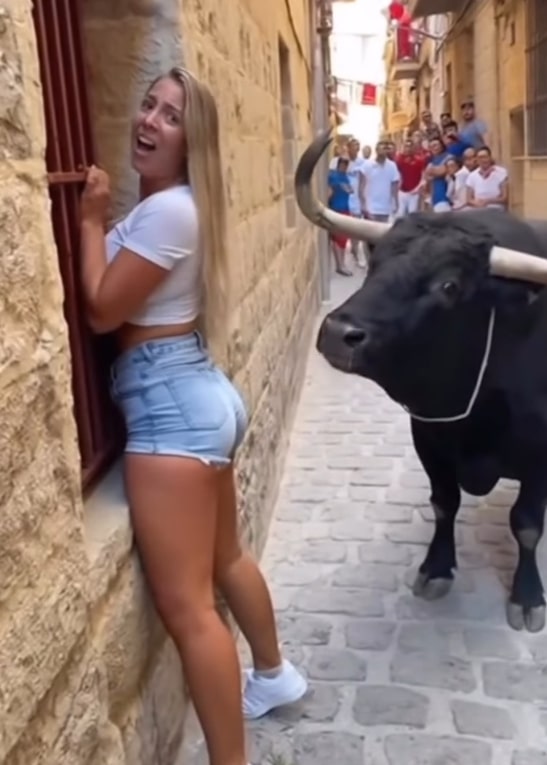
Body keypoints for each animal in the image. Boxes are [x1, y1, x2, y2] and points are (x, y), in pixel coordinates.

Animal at [295, 128, 547, 633]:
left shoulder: (540, 455)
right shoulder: (428, 435)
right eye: (376, 265)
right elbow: (443, 503)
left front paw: (528, 595)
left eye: (449, 286)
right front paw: (436, 567)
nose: (338, 333)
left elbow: (527, 523)